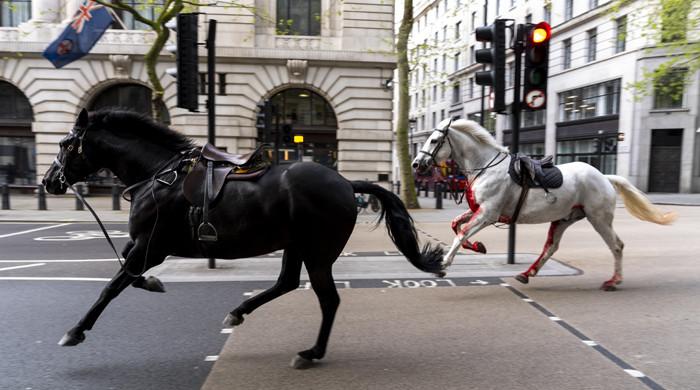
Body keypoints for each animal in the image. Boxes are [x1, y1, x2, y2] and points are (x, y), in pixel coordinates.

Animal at [42, 108, 442, 368]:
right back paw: (239, 313)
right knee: (286, 283)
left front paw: (75, 331)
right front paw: (154, 283)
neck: (158, 175)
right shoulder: (143, 245)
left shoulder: (151, 246)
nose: (48, 182)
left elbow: (112, 286)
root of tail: (346, 182)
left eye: (65, 144)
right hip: (296, 245)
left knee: (328, 299)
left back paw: (311, 353)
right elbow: (128, 274)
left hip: (318, 252)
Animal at [412, 118, 676, 290]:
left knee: (617, 246)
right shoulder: (479, 211)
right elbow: (456, 225)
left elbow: (461, 233)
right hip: (564, 219)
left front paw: (443, 264)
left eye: (434, 140)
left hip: (598, 218)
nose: (416, 164)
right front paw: (478, 246)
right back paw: (527, 273)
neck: (485, 167)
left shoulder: (488, 214)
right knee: (551, 247)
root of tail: (604, 176)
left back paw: (614, 281)